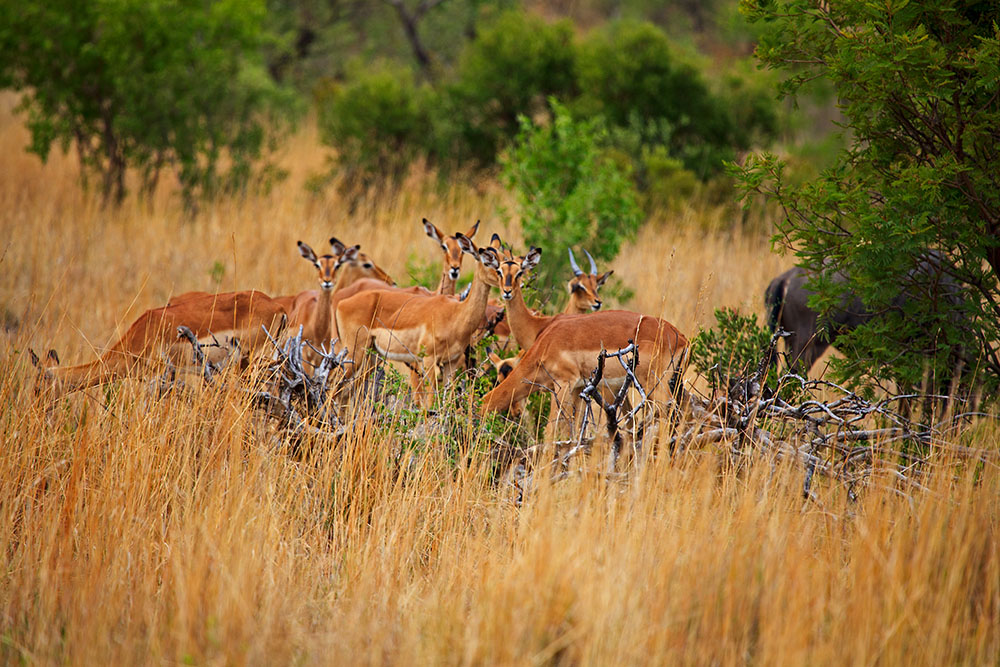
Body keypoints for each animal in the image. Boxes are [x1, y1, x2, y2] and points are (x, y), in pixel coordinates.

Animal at [336, 235, 504, 404]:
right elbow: (429, 401)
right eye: (487, 260)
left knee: (344, 393)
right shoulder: (429, 360)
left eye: (503, 259)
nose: (506, 286)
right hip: (354, 354)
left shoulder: (451, 362)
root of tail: (341, 302)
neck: (456, 313)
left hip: (371, 355)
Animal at [482, 310, 688, 440]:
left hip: (654, 384)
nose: (515, 413)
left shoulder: (564, 384)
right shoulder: (579, 388)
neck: (545, 344)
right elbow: (573, 429)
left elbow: (552, 429)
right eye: (498, 378)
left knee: (668, 413)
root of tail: (681, 337)